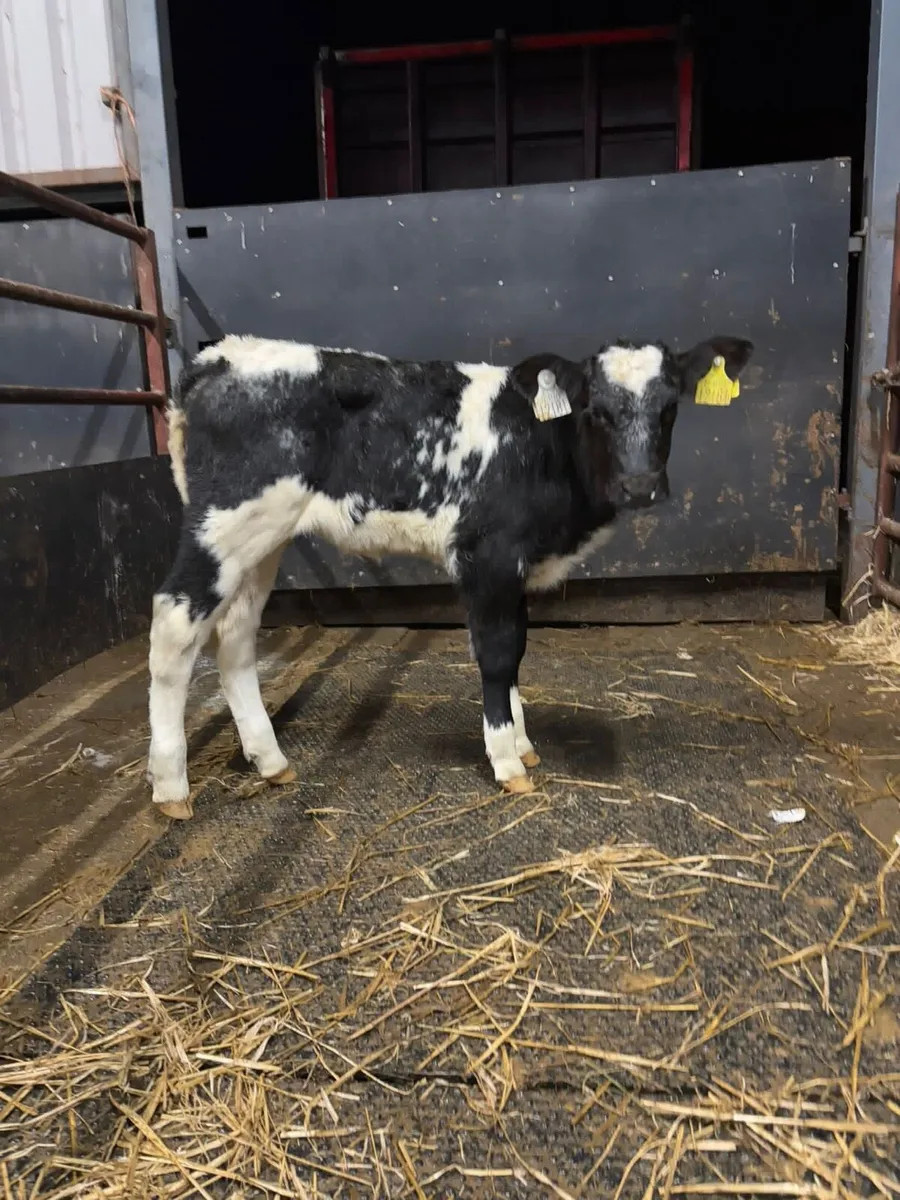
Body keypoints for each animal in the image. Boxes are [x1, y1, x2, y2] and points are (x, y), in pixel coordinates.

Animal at [148, 334, 754, 818]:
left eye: (670, 407)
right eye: (596, 409)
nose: (640, 486)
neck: (539, 445)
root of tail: (220, 355)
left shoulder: (514, 568)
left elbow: (518, 648)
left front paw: (523, 742)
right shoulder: (486, 555)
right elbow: (498, 654)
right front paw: (507, 761)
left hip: (262, 538)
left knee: (235, 635)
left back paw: (271, 760)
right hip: (221, 524)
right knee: (174, 627)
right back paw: (171, 786)